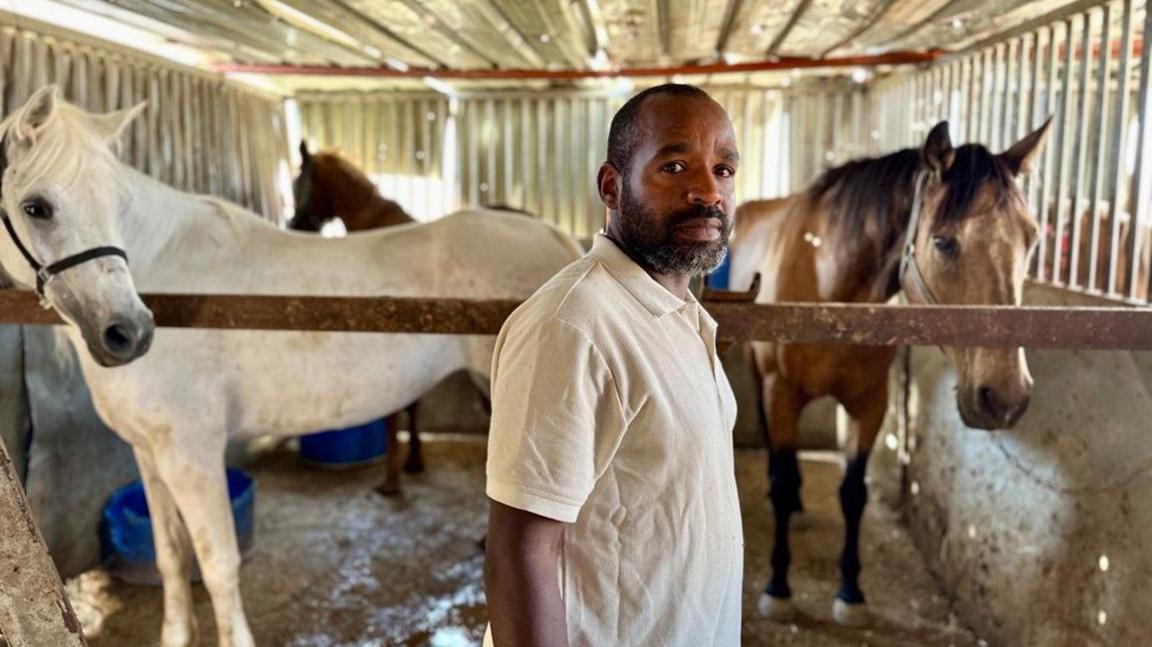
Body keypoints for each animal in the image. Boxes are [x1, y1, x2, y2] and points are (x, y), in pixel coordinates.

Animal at [728, 118, 1055, 621]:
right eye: (943, 242)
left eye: (1032, 239)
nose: (1005, 397)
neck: (829, 288)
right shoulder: (781, 392)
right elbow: (782, 482)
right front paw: (777, 586)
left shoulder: (870, 404)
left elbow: (854, 493)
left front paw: (850, 591)